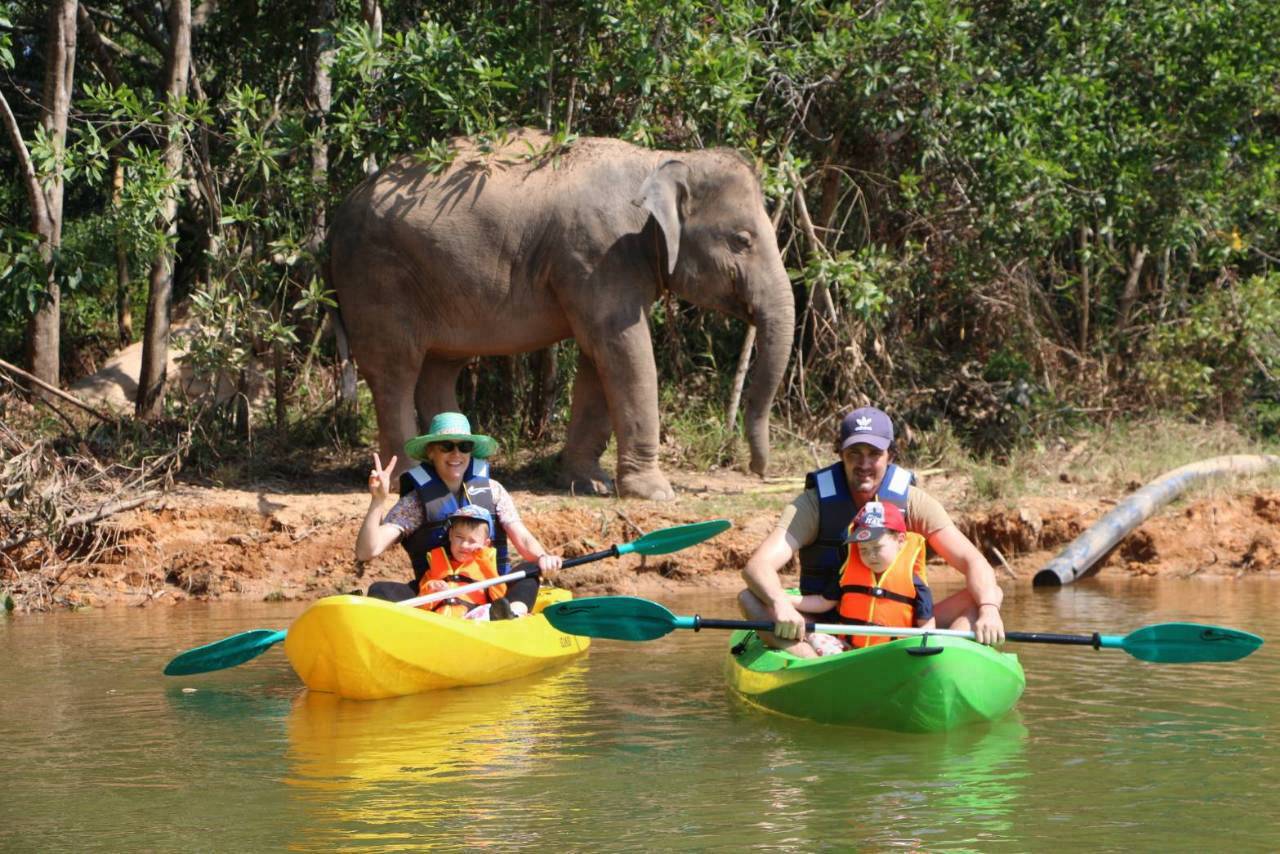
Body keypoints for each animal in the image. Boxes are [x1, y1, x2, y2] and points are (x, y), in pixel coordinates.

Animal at [328, 129, 796, 500]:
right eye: (741, 240)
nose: (759, 471)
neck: (660, 161)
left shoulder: (604, 267)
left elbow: (598, 358)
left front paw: (589, 483)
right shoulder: (599, 253)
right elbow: (624, 349)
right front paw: (655, 494)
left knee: (440, 368)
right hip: (377, 277)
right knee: (395, 370)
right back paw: (408, 477)